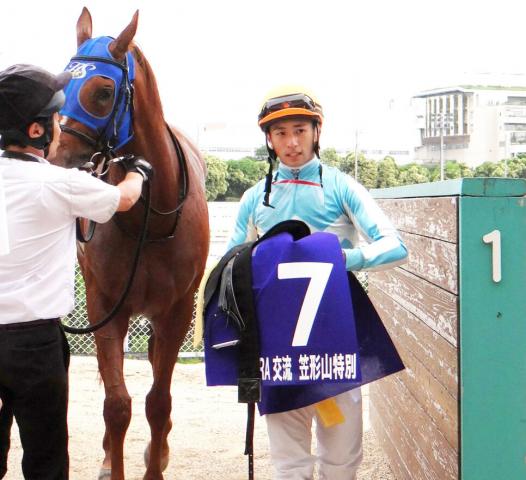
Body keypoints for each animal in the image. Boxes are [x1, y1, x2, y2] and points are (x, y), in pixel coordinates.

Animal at [54, 7, 210, 480]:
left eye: (104, 92)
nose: (54, 159)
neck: (150, 217)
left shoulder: (176, 310)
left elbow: (159, 402)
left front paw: (155, 463)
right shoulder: (106, 306)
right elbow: (117, 404)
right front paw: (114, 461)